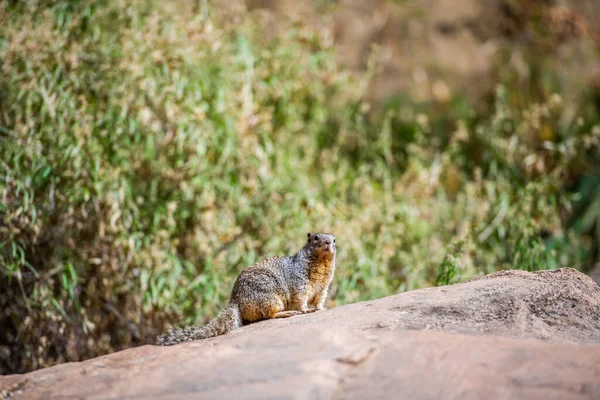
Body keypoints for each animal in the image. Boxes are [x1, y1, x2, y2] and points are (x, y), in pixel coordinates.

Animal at [158, 233, 338, 346]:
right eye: (315, 238)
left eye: (334, 240)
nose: (328, 242)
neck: (321, 264)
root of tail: (235, 299)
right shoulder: (300, 282)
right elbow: (301, 298)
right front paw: (306, 310)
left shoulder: (323, 287)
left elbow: (319, 299)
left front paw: (322, 308)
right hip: (271, 298)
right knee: (270, 314)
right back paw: (287, 313)